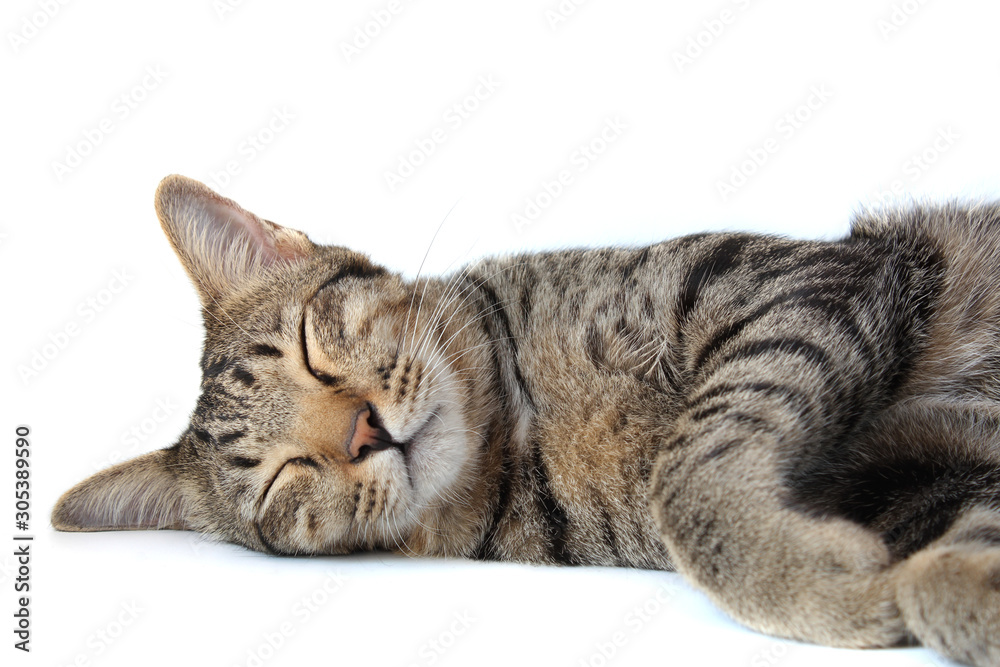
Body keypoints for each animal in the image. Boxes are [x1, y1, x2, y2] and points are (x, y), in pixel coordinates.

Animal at [54, 176, 1000, 667]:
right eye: (285, 478)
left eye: (313, 347)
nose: (364, 431)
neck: (528, 420)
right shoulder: (927, 481)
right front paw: (847, 586)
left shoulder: (790, 284)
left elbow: (693, 465)